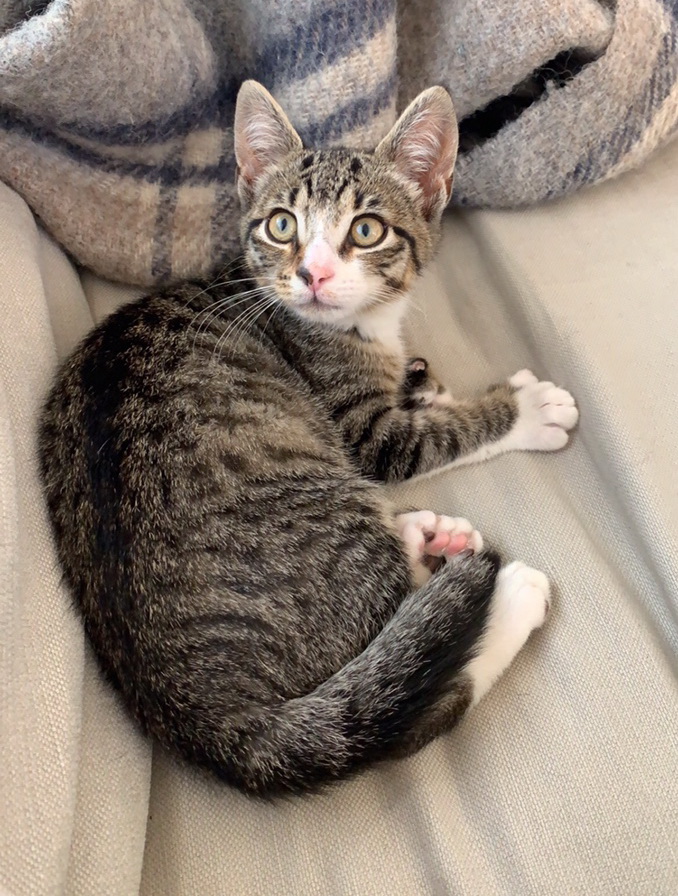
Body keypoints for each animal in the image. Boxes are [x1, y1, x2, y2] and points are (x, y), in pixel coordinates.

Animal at [38, 81, 578, 797]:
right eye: (282, 225)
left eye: (367, 230)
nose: (313, 274)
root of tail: (211, 718)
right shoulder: (365, 432)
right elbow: (433, 437)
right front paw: (528, 407)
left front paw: (424, 382)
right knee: (411, 706)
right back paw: (505, 591)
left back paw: (431, 534)